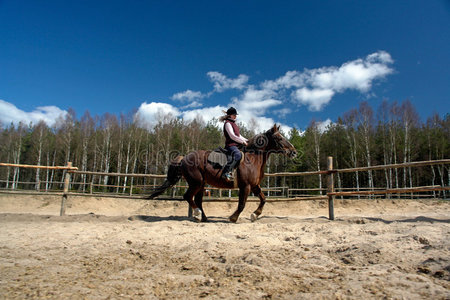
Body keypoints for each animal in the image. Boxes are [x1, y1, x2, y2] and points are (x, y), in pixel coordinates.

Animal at [148, 124, 298, 223]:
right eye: (279, 138)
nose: (294, 152)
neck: (253, 158)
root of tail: (184, 158)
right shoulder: (246, 186)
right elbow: (241, 204)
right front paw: (233, 217)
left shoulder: (255, 186)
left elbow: (263, 199)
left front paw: (255, 215)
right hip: (196, 182)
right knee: (188, 197)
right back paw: (197, 214)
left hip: (201, 184)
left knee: (197, 200)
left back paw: (204, 218)